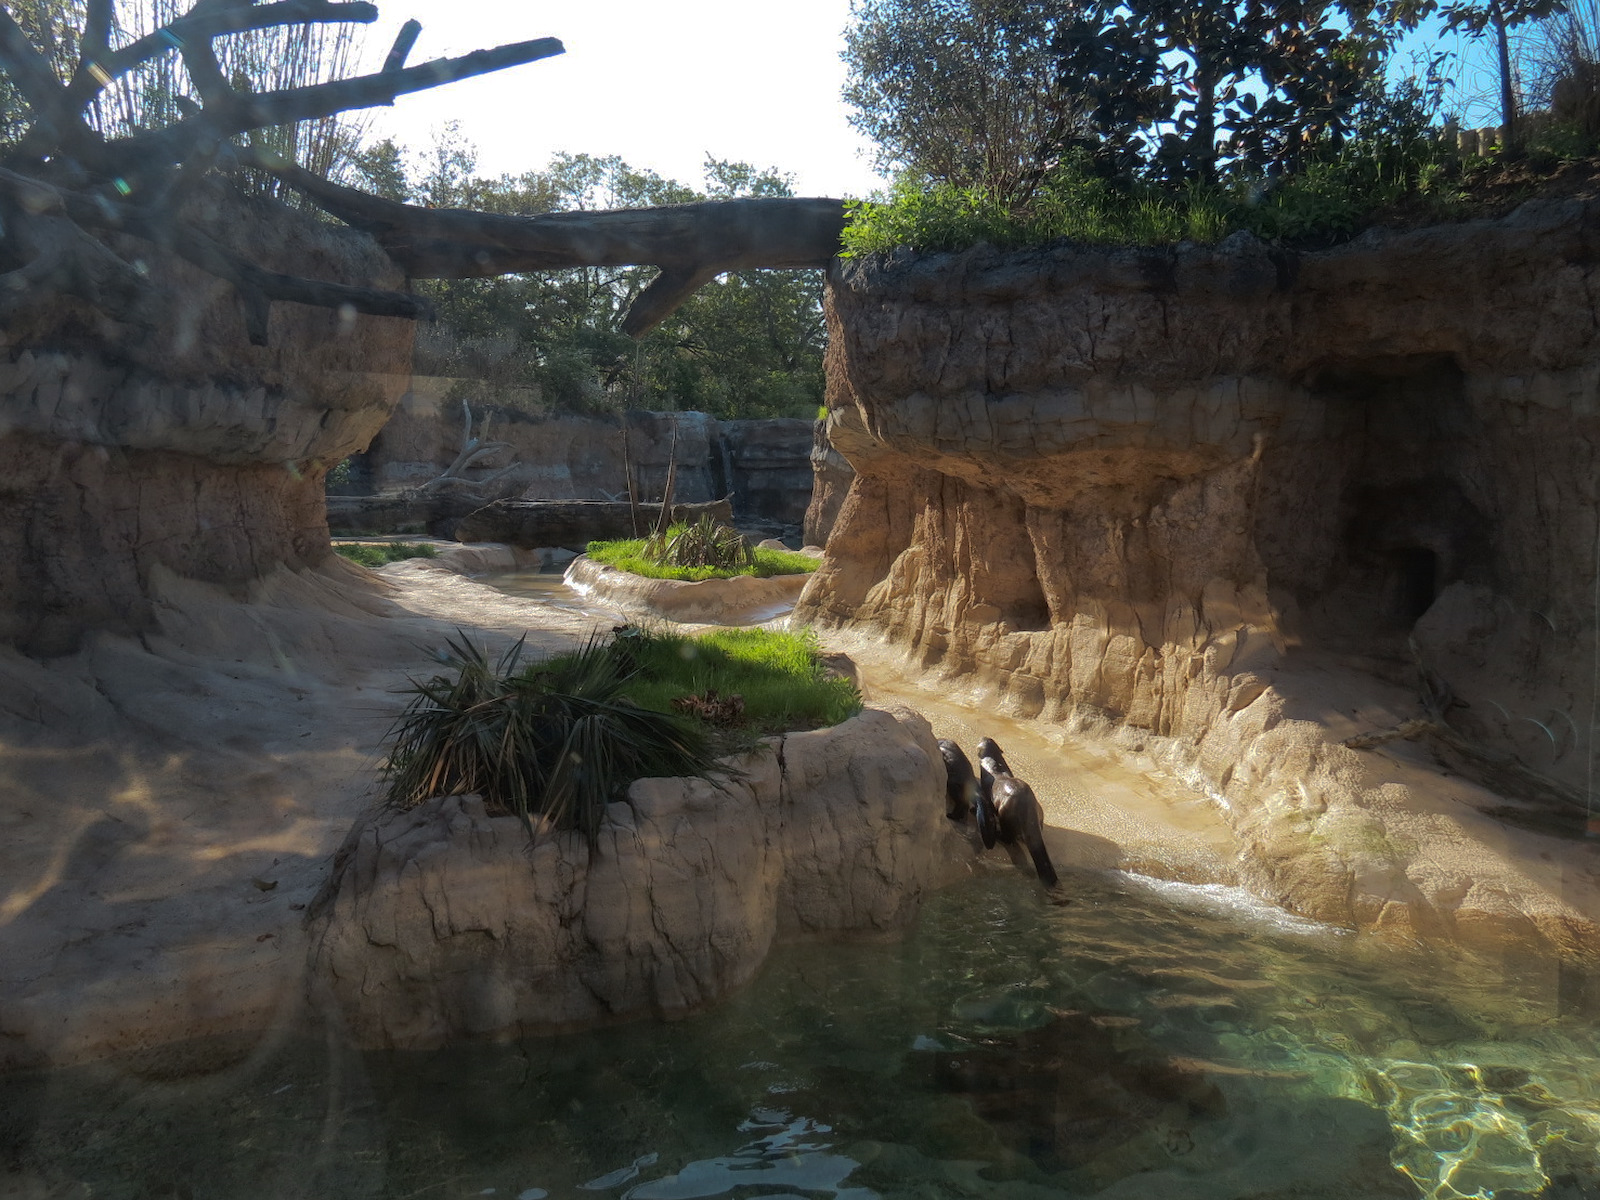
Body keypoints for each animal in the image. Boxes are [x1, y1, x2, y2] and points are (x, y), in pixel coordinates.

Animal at [976, 737, 1059, 888]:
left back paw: (999, 834)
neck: (995, 768)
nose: (983, 737)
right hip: (1039, 810)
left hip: (1005, 813)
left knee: (1009, 838)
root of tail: (1027, 810)